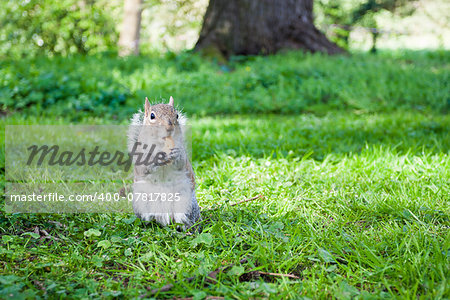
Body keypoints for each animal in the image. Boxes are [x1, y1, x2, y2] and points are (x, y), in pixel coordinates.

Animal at [128, 96, 202, 230]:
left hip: (186, 204)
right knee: (148, 219)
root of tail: (166, 217)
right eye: (152, 116)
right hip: (141, 203)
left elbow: (181, 162)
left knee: (186, 221)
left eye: (176, 115)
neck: (161, 144)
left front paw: (175, 154)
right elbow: (144, 167)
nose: (169, 128)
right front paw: (157, 158)